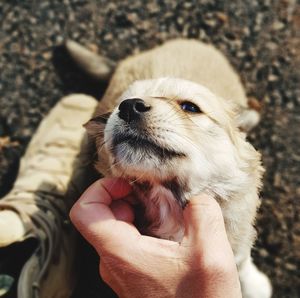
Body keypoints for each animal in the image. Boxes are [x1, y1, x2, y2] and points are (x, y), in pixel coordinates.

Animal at [67, 39, 272, 298]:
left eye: (190, 107)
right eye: (117, 107)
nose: (128, 107)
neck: (168, 203)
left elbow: (241, 260)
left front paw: (254, 285)